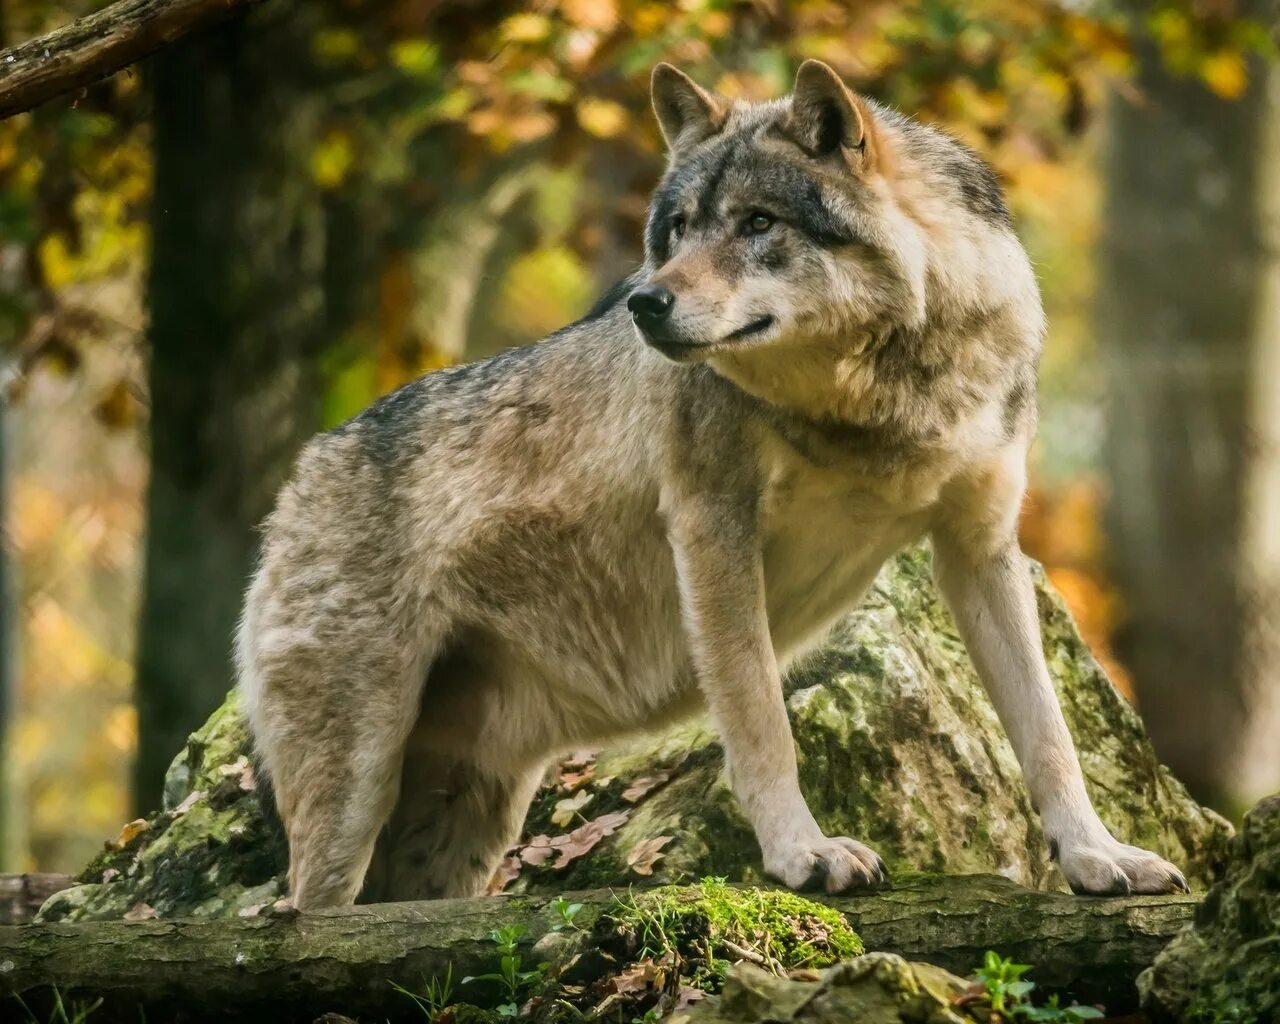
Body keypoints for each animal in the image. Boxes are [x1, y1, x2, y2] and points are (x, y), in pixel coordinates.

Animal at [238, 60, 1187, 906]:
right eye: (681, 229)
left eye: (757, 222)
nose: (643, 302)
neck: (874, 404)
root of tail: (298, 478)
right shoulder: (712, 532)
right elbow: (762, 720)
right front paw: (804, 856)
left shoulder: (980, 552)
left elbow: (1049, 732)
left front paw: (1099, 858)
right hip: (358, 791)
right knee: (308, 912)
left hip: (465, 820)